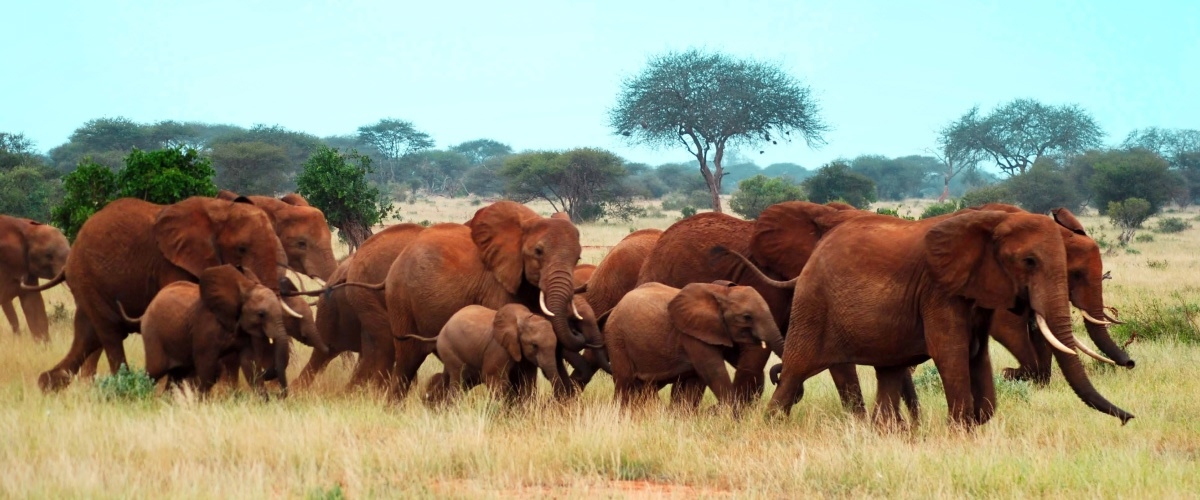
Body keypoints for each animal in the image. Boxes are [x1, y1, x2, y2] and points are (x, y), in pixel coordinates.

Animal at [125, 265, 300, 395]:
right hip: (153, 335)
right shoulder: (205, 327)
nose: (280, 395)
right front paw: (200, 403)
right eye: (261, 314)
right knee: (153, 372)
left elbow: (250, 366)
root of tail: (145, 313)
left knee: (176, 376)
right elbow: (208, 368)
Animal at [402, 303, 561, 404]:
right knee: (457, 379)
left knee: (448, 378)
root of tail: (440, 332)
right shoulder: (498, 348)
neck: (523, 318)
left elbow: (526, 380)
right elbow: (494, 378)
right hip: (449, 348)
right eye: (534, 345)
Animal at [604, 281, 784, 409]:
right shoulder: (691, 335)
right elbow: (714, 371)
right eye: (747, 317)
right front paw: (734, 419)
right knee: (624, 382)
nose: (776, 379)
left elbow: (698, 379)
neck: (721, 293)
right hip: (616, 339)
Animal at [743, 209, 1133, 427]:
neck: (994, 221)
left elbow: (976, 354)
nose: (1129, 418)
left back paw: (887, 432)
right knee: (797, 367)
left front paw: (977, 422)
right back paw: (772, 424)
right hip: (813, 304)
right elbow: (951, 351)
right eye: (1029, 262)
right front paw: (960, 428)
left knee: (889, 371)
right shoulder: (938, 290)